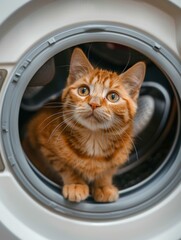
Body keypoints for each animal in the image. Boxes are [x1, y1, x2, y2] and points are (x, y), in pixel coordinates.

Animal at [23, 48, 146, 202]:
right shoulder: (42, 138)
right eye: (83, 90)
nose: (94, 103)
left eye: (113, 97)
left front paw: (103, 185)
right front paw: (75, 184)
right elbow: (64, 165)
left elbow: (107, 171)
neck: (94, 139)